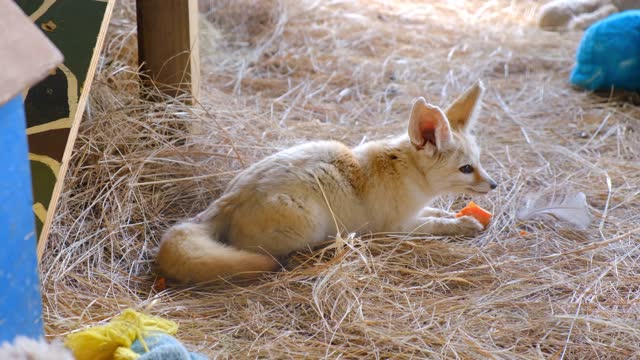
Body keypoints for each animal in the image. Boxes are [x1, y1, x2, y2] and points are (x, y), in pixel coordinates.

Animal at [158, 81, 498, 284]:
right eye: (466, 169)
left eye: (479, 162)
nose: (494, 185)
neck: (405, 169)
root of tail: (228, 199)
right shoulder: (397, 226)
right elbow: (437, 225)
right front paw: (463, 224)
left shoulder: (415, 212)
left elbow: (438, 213)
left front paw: (459, 215)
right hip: (308, 224)